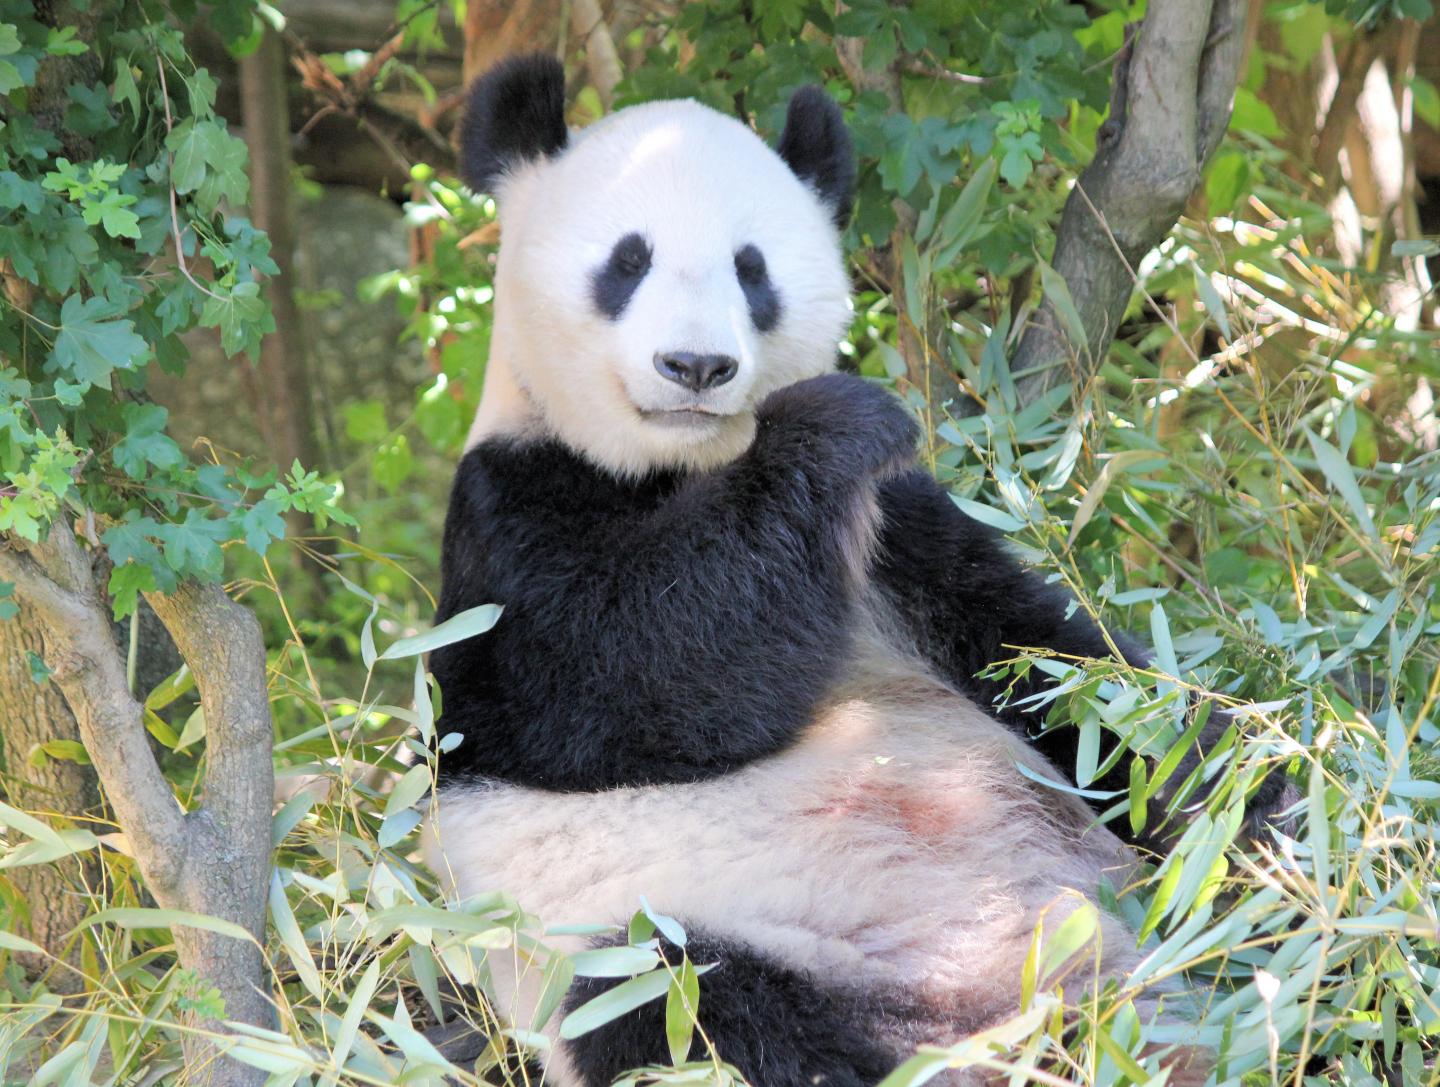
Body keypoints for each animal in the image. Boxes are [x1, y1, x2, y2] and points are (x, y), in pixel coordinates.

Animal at [420, 53, 1272, 1087]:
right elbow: (617, 674)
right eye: (628, 260)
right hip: (675, 943)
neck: (678, 466)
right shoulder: (506, 518)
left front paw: (1260, 799)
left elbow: (1066, 680)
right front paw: (833, 420)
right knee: (702, 1008)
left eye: (751, 269)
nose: (696, 365)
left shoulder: (899, 533)